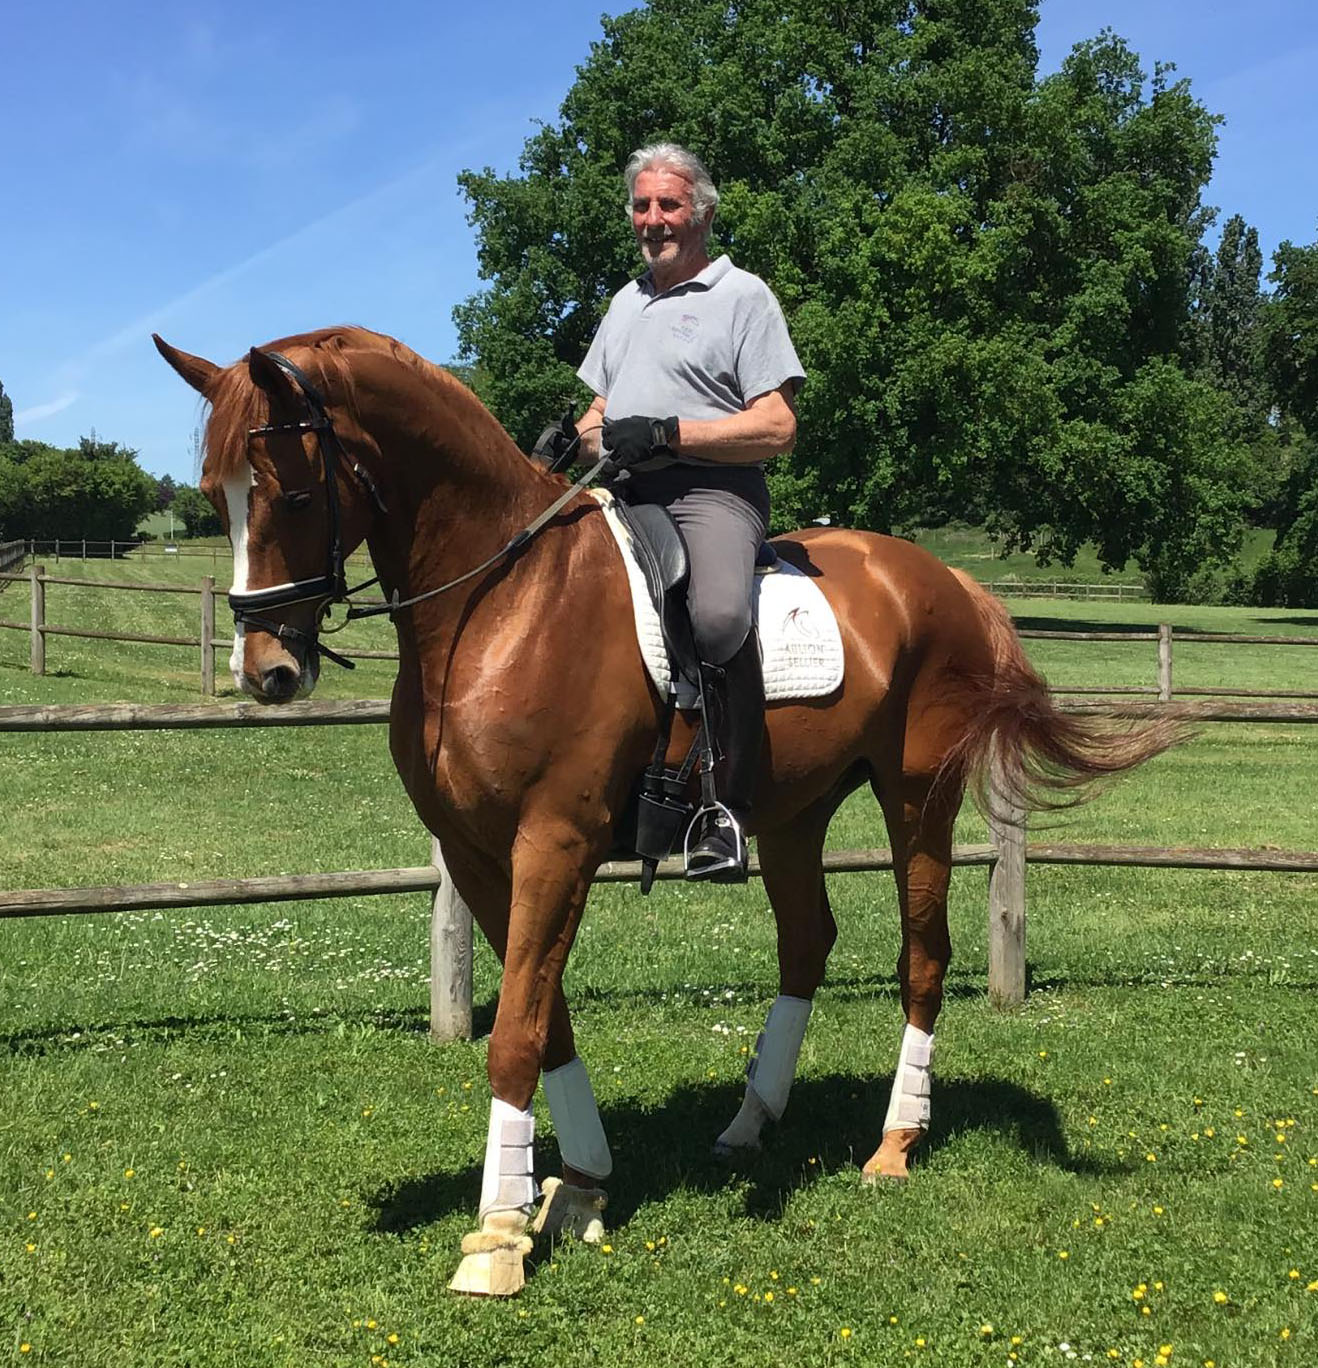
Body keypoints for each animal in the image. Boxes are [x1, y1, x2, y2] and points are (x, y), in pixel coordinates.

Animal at [157, 325, 1177, 1296]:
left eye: (292, 497)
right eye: (214, 497)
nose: (266, 672)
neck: (501, 601)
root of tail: (947, 582)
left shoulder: (554, 845)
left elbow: (516, 1033)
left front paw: (497, 1238)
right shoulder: (482, 855)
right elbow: (546, 1017)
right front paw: (580, 1186)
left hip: (917, 794)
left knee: (922, 955)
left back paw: (895, 1144)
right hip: (794, 813)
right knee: (806, 943)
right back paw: (750, 1121)